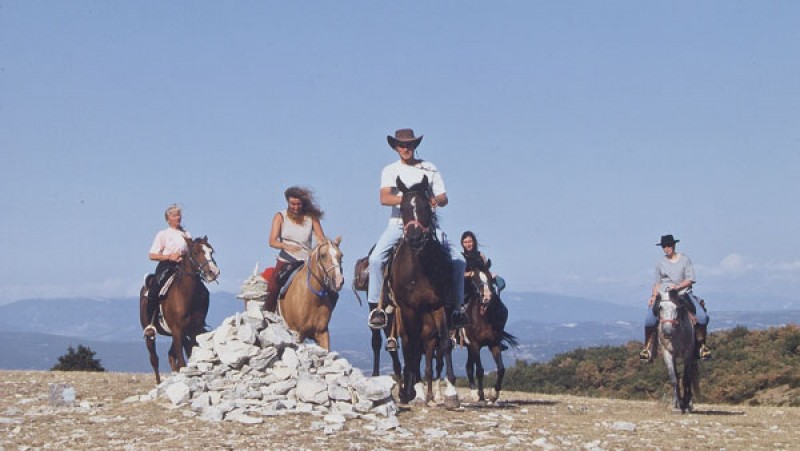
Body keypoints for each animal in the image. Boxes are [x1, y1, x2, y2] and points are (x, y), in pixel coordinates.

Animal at [138, 237, 219, 384]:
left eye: (211, 251)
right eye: (195, 252)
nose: (213, 272)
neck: (187, 294)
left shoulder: (193, 330)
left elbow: (192, 355)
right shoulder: (178, 330)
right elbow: (182, 361)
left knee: (171, 355)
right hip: (151, 336)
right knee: (154, 359)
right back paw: (159, 383)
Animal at [392, 175, 456, 404]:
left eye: (426, 206)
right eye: (402, 208)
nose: (415, 238)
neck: (420, 270)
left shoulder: (439, 306)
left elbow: (444, 343)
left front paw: (452, 392)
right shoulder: (409, 309)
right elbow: (412, 349)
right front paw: (415, 391)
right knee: (409, 348)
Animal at [462, 268, 520, 402]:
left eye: (489, 278)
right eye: (475, 279)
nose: (487, 297)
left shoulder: (494, 344)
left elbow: (501, 369)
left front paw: (494, 394)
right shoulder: (475, 345)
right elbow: (480, 370)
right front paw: (481, 395)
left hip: (469, 348)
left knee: (468, 367)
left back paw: (474, 393)